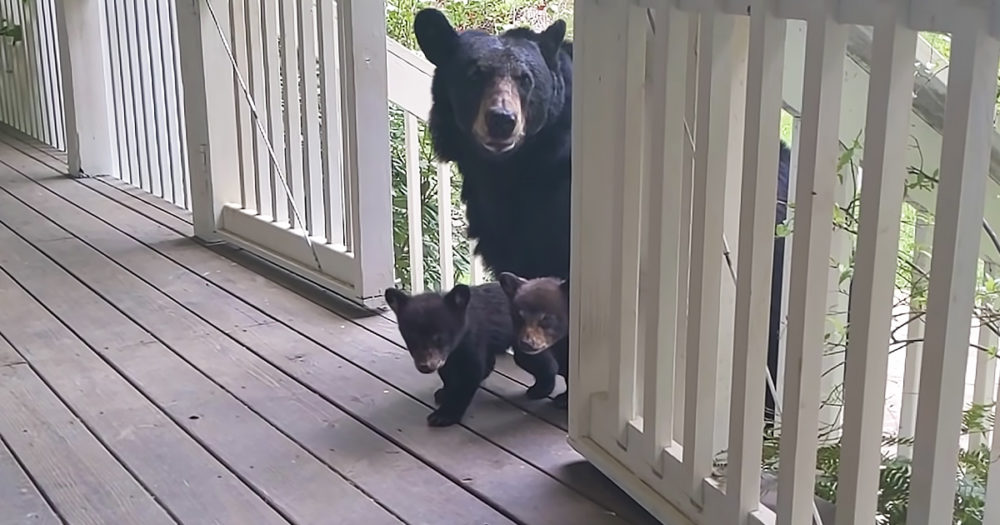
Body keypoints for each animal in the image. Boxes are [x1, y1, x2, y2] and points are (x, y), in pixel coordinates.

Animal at [385, 282, 559, 426]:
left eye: (439, 337)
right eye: (411, 338)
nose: (425, 366)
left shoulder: (473, 339)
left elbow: (469, 375)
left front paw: (445, 415)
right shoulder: (450, 355)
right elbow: (447, 372)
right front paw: (445, 392)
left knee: (535, 361)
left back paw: (541, 389)